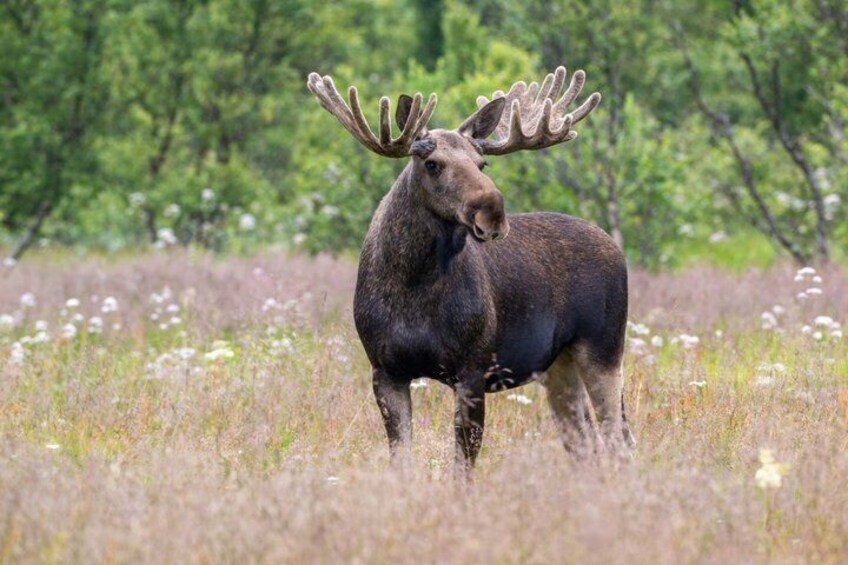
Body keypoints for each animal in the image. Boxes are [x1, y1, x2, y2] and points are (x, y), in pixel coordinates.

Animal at [307, 66, 635, 476]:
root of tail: (616, 248)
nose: (492, 211)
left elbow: (463, 466)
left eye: (482, 164)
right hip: (559, 364)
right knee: (584, 441)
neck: (413, 287)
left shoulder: (473, 369)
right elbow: (402, 460)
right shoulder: (385, 370)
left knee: (619, 439)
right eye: (432, 163)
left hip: (604, 347)